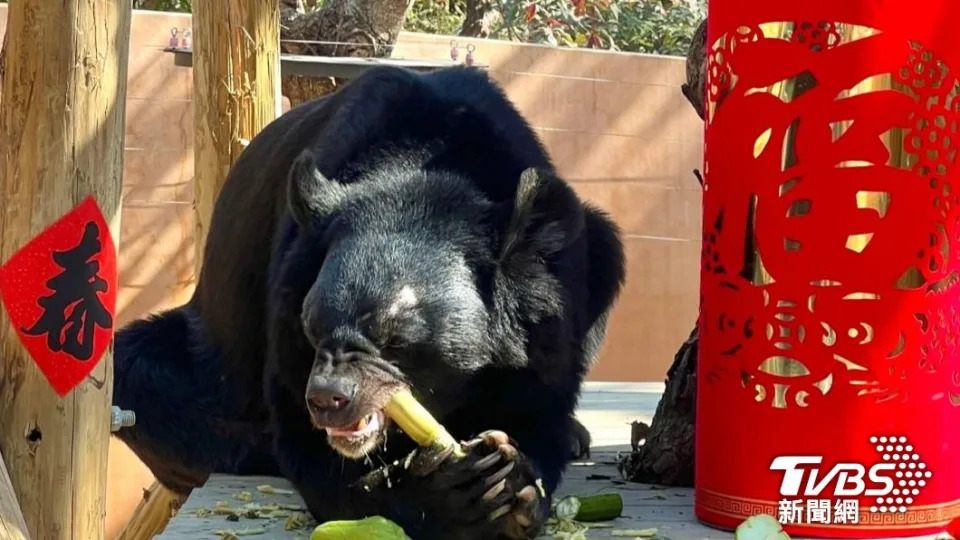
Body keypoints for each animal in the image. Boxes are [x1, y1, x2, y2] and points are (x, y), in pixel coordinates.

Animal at [112, 66, 628, 540]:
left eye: (396, 339)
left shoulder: (548, 315)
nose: (328, 399)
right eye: (312, 327)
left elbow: (539, 404)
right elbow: (308, 448)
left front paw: (514, 480)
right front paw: (450, 496)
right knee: (138, 377)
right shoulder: (286, 304)